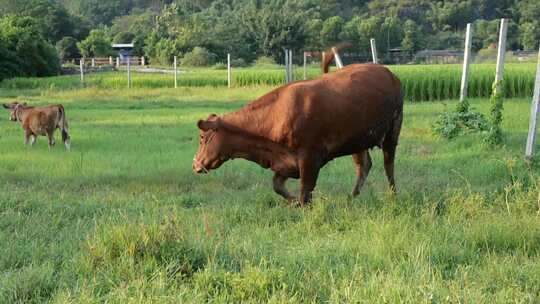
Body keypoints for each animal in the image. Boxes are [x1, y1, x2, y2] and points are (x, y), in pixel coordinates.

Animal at [193, 55, 400, 205]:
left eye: (202, 137)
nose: (195, 164)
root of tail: (387, 71)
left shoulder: (310, 157)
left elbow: (305, 191)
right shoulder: (287, 162)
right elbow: (277, 185)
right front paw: (294, 202)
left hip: (392, 131)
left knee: (388, 165)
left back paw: (392, 195)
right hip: (357, 140)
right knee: (364, 166)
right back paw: (351, 197)